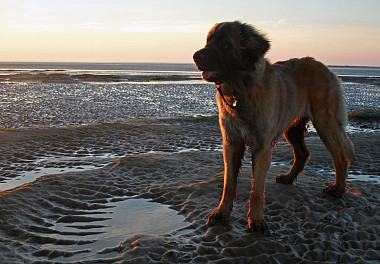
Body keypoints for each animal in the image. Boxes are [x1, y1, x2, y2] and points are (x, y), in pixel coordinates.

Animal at [194, 21, 354, 234]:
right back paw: (289, 177)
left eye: (223, 44)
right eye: (208, 42)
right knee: (303, 153)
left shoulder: (262, 147)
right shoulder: (232, 143)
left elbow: (257, 190)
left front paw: (257, 220)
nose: (195, 56)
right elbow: (228, 183)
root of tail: (324, 67)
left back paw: (338, 188)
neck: (241, 91)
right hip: (292, 129)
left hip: (325, 123)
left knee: (340, 155)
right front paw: (222, 213)